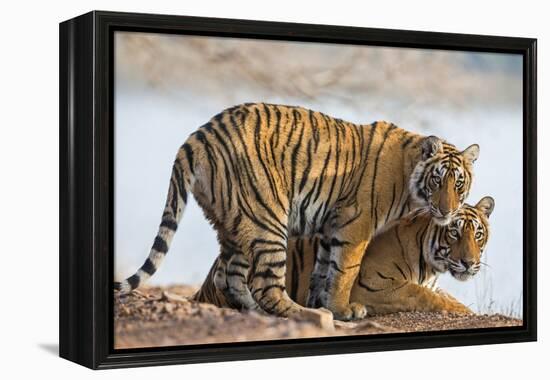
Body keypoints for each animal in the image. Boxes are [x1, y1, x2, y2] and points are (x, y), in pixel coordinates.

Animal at [194, 196, 496, 314]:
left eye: (478, 234)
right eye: (454, 233)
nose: (469, 263)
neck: (430, 266)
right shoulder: (372, 287)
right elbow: (423, 295)